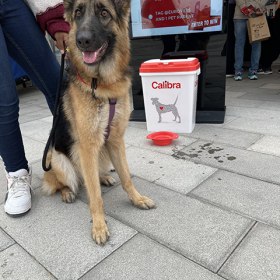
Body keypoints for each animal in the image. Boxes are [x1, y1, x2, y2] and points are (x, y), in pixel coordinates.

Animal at [43, 0, 155, 245]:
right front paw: (99, 225)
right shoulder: (87, 147)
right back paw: (67, 191)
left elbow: (126, 177)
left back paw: (103, 177)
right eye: (78, 13)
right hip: (57, 159)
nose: (82, 41)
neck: (102, 83)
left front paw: (137, 199)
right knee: (65, 182)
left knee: (91, 176)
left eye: (104, 13)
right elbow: (94, 195)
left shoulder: (115, 141)